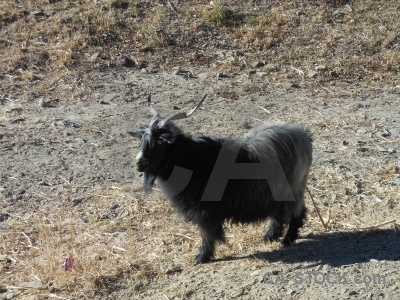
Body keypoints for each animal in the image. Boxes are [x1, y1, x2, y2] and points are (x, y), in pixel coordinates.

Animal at [130, 94, 312, 264]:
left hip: (293, 188)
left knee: (298, 212)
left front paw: (202, 257)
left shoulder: (205, 211)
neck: (191, 161)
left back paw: (286, 241)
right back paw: (270, 236)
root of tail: (304, 136)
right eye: (142, 140)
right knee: (278, 212)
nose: (139, 162)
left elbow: (207, 234)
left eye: (160, 141)